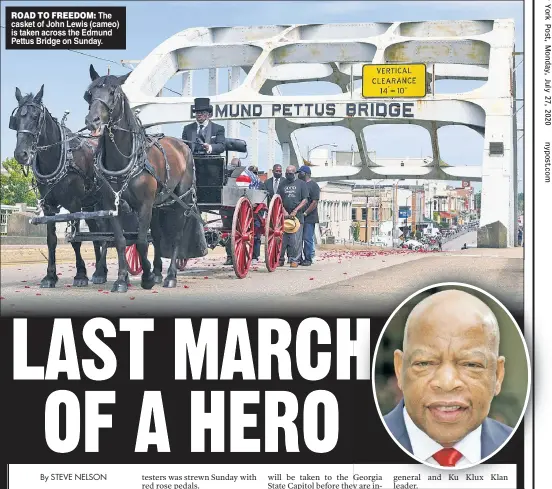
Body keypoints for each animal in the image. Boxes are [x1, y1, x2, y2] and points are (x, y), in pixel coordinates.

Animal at [10, 86, 109, 288]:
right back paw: (99, 271)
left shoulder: (74, 205)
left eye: (35, 117)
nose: (21, 154)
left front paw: (80, 275)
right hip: (90, 205)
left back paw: (101, 272)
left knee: (106, 232)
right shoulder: (49, 206)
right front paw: (50, 276)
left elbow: (76, 240)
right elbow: (51, 240)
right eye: (16, 120)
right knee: (96, 233)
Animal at [82, 63, 203, 292]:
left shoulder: (145, 204)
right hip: (160, 204)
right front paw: (122, 279)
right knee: (157, 235)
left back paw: (170, 275)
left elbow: (140, 241)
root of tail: (183, 146)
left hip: (180, 201)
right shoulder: (113, 205)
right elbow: (121, 241)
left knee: (176, 236)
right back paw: (157, 272)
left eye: (113, 92)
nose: (92, 121)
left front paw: (146, 277)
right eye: (89, 94)